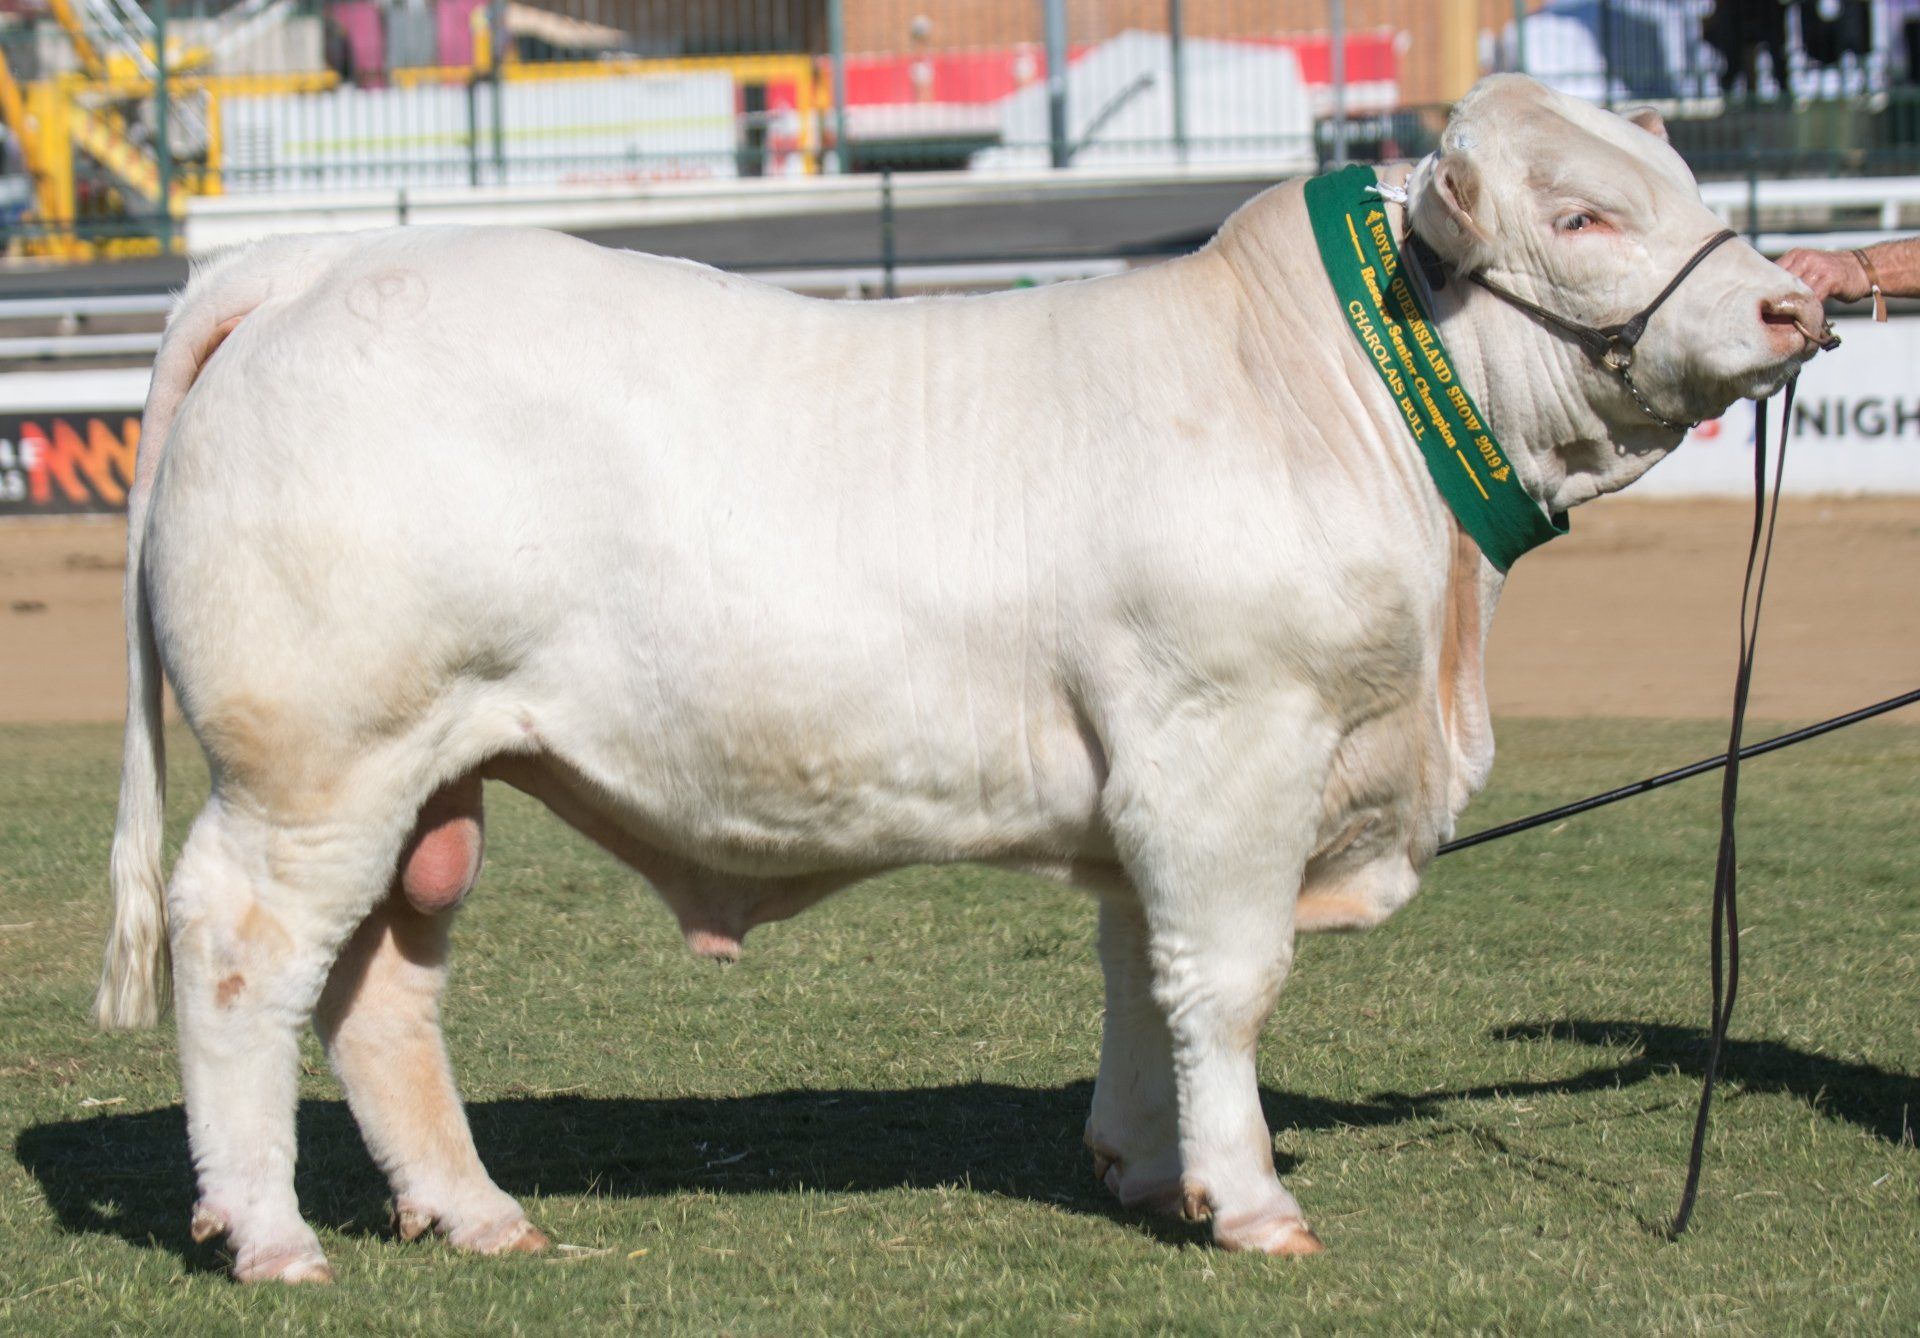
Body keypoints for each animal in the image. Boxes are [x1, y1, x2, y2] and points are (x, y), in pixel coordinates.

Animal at [95, 75, 1830, 1282]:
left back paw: (472, 1211)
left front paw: (1152, 1167)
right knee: (239, 952)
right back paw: (269, 1231)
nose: (1798, 299)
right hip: (316, 762)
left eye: (1682, 182)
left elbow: (1141, 970)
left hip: (428, 775)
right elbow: (1229, 975)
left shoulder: (1158, 780)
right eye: (1585, 217)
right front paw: (1255, 1201)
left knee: (380, 989)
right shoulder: (1231, 741)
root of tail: (311, 265)